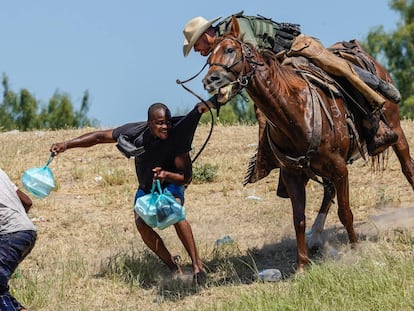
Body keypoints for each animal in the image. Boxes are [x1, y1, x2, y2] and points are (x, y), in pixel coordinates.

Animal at [201, 16, 414, 272]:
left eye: (230, 50)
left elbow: (345, 212)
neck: (295, 112)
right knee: (328, 191)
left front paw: (355, 250)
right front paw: (302, 265)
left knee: (407, 167)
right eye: (208, 58)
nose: (209, 80)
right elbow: (299, 219)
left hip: (395, 128)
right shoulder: (292, 174)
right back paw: (316, 236)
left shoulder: (339, 168)